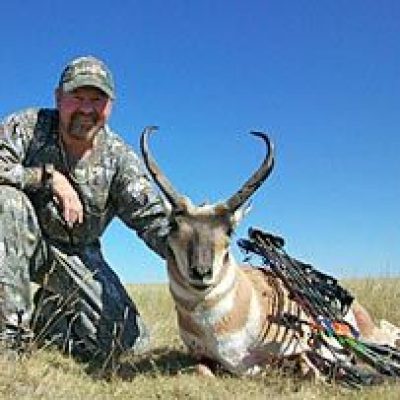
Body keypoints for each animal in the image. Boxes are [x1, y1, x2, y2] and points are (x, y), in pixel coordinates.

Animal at [140, 126, 400, 376]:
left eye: (229, 230)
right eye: (173, 225)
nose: (201, 272)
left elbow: (306, 366)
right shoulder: (201, 357)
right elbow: (201, 370)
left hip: (369, 332)